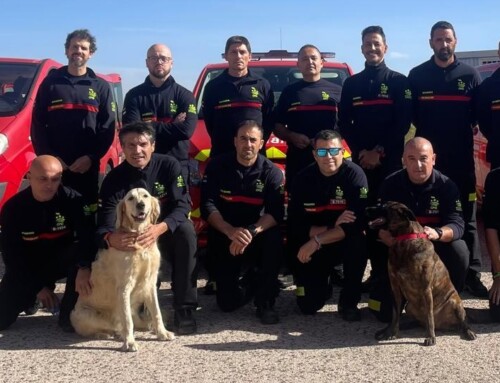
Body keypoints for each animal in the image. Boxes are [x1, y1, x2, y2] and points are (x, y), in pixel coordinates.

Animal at [70, 188, 175, 352]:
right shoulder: (124, 287)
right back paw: (106, 334)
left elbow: (156, 312)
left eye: (145, 196)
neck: (138, 238)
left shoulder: (149, 283)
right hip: (83, 314)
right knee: (99, 328)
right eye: (130, 198)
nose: (140, 205)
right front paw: (129, 342)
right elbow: (127, 320)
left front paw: (162, 333)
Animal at [368, 202, 476, 346]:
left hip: (455, 302)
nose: (366, 209)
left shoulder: (426, 289)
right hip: (409, 307)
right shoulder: (395, 288)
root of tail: (442, 325)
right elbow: (395, 314)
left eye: (385, 208)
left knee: (462, 322)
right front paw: (391, 332)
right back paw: (403, 326)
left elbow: (429, 315)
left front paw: (430, 337)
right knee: (418, 321)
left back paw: (469, 332)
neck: (404, 240)